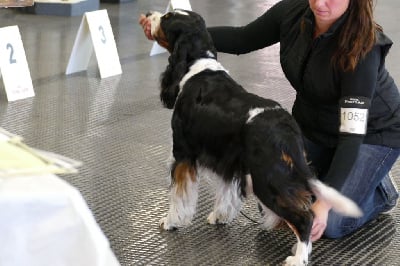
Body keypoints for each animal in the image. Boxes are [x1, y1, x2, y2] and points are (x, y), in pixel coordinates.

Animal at [146, 9, 362, 264]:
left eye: (167, 18)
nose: (148, 14)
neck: (197, 64)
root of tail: (286, 128)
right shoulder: (230, 159)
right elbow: (226, 192)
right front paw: (220, 217)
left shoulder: (183, 153)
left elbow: (179, 195)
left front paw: (171, 222)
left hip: (267, 181)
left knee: (304, 217)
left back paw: (298, 258)